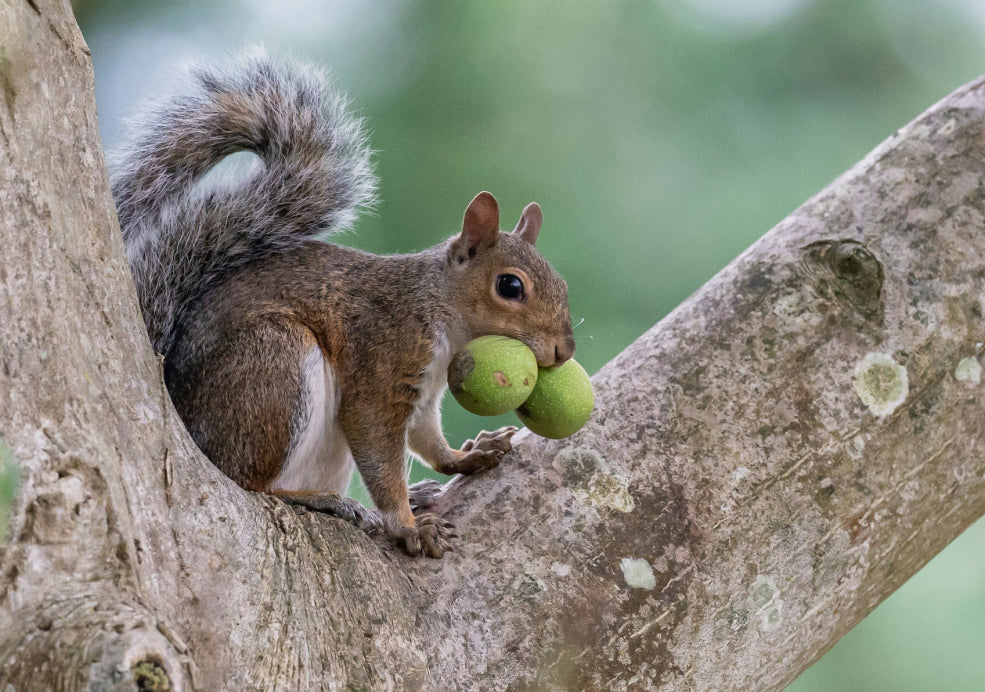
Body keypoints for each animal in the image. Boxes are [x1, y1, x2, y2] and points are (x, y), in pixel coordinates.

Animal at [113, 50, 576, 556]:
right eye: (510, 286)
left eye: (563, 284)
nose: (564, 350)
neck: (438, 314)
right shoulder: (383, 363)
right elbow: (376, 444)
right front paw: (408, 526)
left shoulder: (424, 394)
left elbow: (427, 440)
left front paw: (466, 456)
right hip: (272, 365)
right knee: (251, 482)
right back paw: (326, 501)